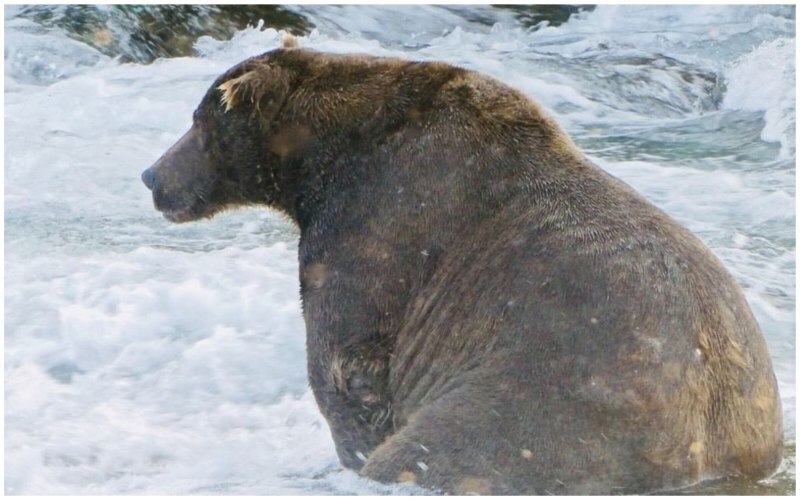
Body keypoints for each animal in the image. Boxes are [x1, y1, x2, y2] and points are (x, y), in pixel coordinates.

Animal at [141, 37, 783, 494]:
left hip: (540, 403)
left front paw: (350, 449)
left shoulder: (381, 226)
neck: (319, 164)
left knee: (438, 448)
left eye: (199, 119)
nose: (151, 175)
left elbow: (345, 364)